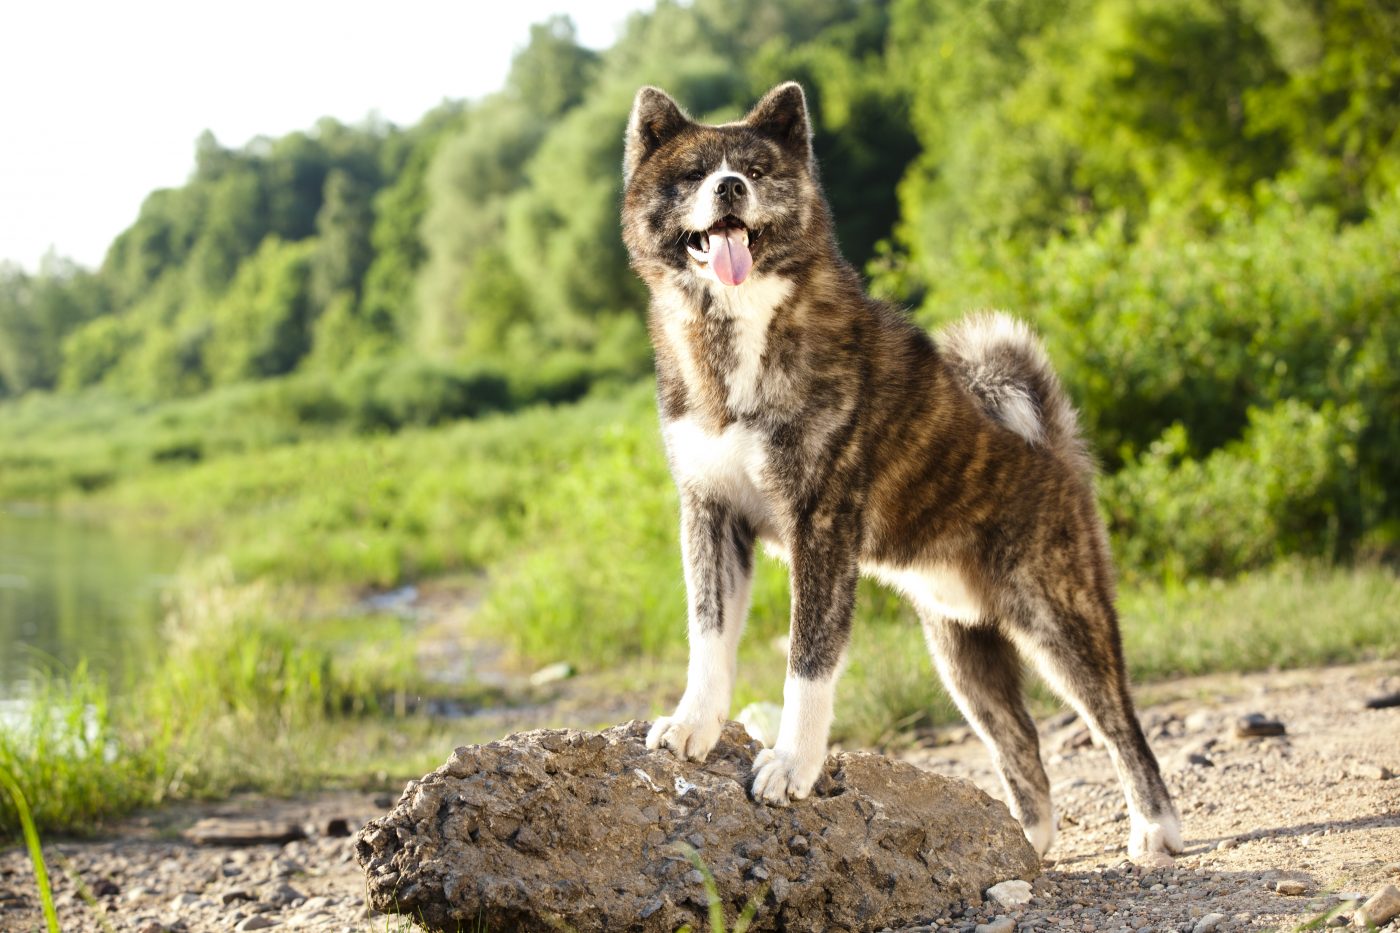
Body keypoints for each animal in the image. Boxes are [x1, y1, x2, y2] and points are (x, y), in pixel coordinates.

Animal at [624, 83, 1181, 862]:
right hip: (961, 654)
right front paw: (692, 725)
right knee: (1021, 743)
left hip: (1061, 623)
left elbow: (808, 664)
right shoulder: (710, 515)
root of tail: (1054, 446)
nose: (729, 187)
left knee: (1120, 726)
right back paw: (1023, 843)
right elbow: (708, 639)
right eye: (694, 174)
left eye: (757, 171)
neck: (737, 336)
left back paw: (1154, 828)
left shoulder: (821, 529)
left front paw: (792, 765)